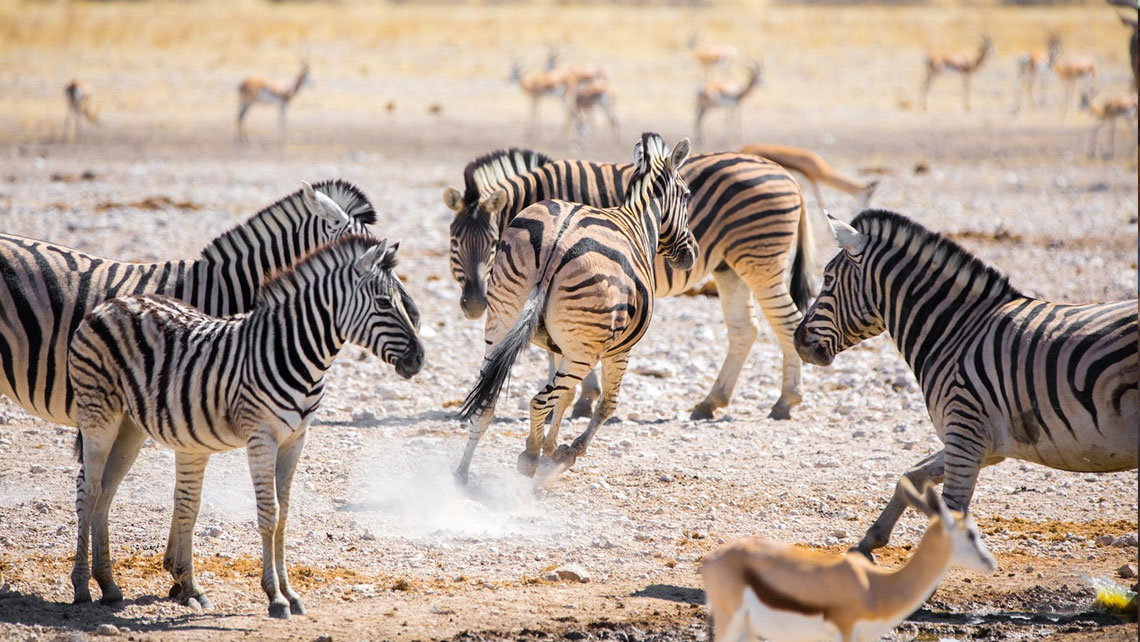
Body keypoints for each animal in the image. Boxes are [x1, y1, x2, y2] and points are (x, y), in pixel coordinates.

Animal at [67, 236, 424, 615]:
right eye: (384, 302)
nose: (420, 359)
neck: (296, 353)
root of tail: (110, 304)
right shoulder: (261, 437)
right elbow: (269, 513)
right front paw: (275, 596)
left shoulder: (296, 439)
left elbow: (284, 515)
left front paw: (290, 593)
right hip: (99, 415)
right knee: (89, 490)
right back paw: (82, 586)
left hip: (130, 427)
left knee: (106, 491)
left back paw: (108, 585)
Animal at [442, 144, 811, 421]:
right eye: (454, 241)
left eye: (492, 243)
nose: (474, 305)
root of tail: (788, 177)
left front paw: (576, 398)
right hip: (729, 268)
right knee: (745, 330)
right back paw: (711, 402)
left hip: (759, 261)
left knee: (787, 322)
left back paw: (786, 401)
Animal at [453, 136, 693, 488]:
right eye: (687, 195)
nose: (691, 255)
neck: (636, 221)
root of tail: (557, 241)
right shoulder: (618, 350)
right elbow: (606, 405)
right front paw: (561, 453)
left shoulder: (558, 345)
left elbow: (565, 398)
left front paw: (548, 446)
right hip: (585, 348)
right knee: (539, 400)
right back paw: (530, 460)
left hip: (501, 323)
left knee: (487, 401)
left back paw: (461, 475)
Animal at [793, 212, 1140, 563]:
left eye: (827, 279)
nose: (797, 340)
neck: (956, 332)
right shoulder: (982, 442)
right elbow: (911, 476)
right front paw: (869, 541)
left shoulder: (965, 429)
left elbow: (949, 510)